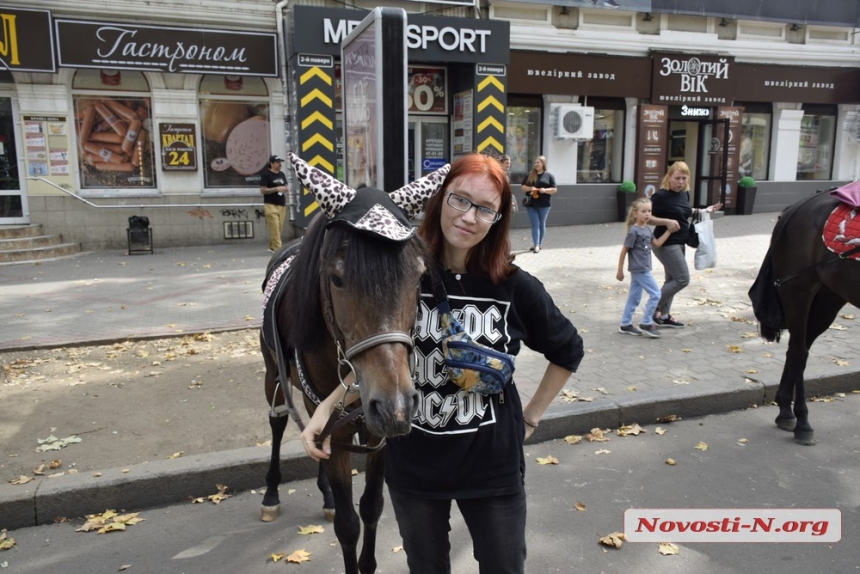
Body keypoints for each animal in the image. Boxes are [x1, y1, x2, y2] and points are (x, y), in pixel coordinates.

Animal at [256, 153, 446, 574]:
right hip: (272, 373)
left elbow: (372, 506)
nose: (395, 405)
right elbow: (347, 523)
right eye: (337, 278)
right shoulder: (340, 425)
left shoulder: (377, 434)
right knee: (278, 421)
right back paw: (272, 494)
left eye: (419, 276)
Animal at [748, 191, 860, 448]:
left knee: (797, 349)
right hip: (799, 290)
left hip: (829, 297)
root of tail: (797, 206)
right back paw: (801, 422)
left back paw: (785, 411)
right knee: (800, 353)